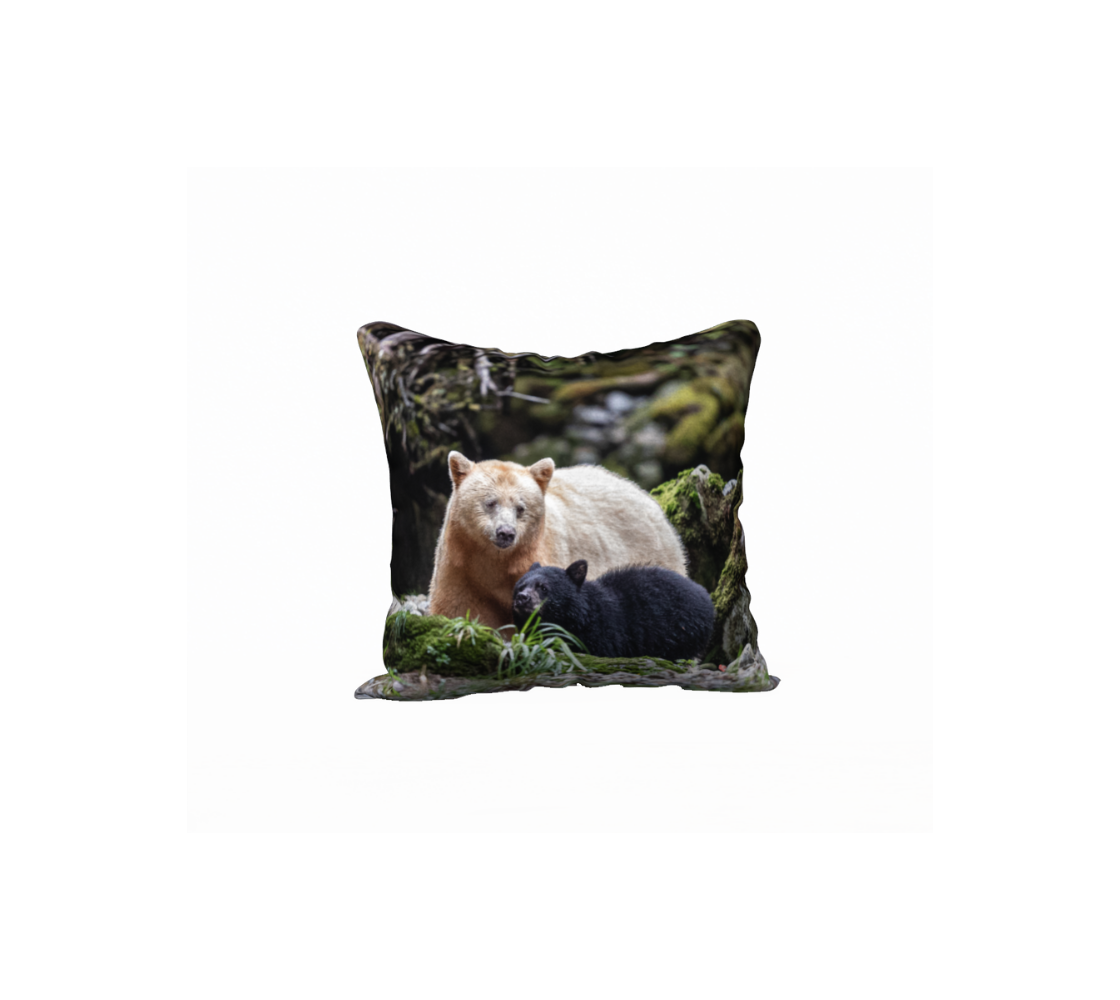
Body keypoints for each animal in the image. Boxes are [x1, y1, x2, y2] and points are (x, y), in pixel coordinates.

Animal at [427, 451, 687, 632]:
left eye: (521, 508)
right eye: (490, 502)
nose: (506, 533)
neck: (495, 561)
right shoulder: (460, 566)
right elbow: (459, 609)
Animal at [512, 560, 715, 661]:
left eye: (543, 587)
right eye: (519, 586)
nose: (522, 598)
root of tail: (705, 595)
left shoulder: (605, 635)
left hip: (682, 634)